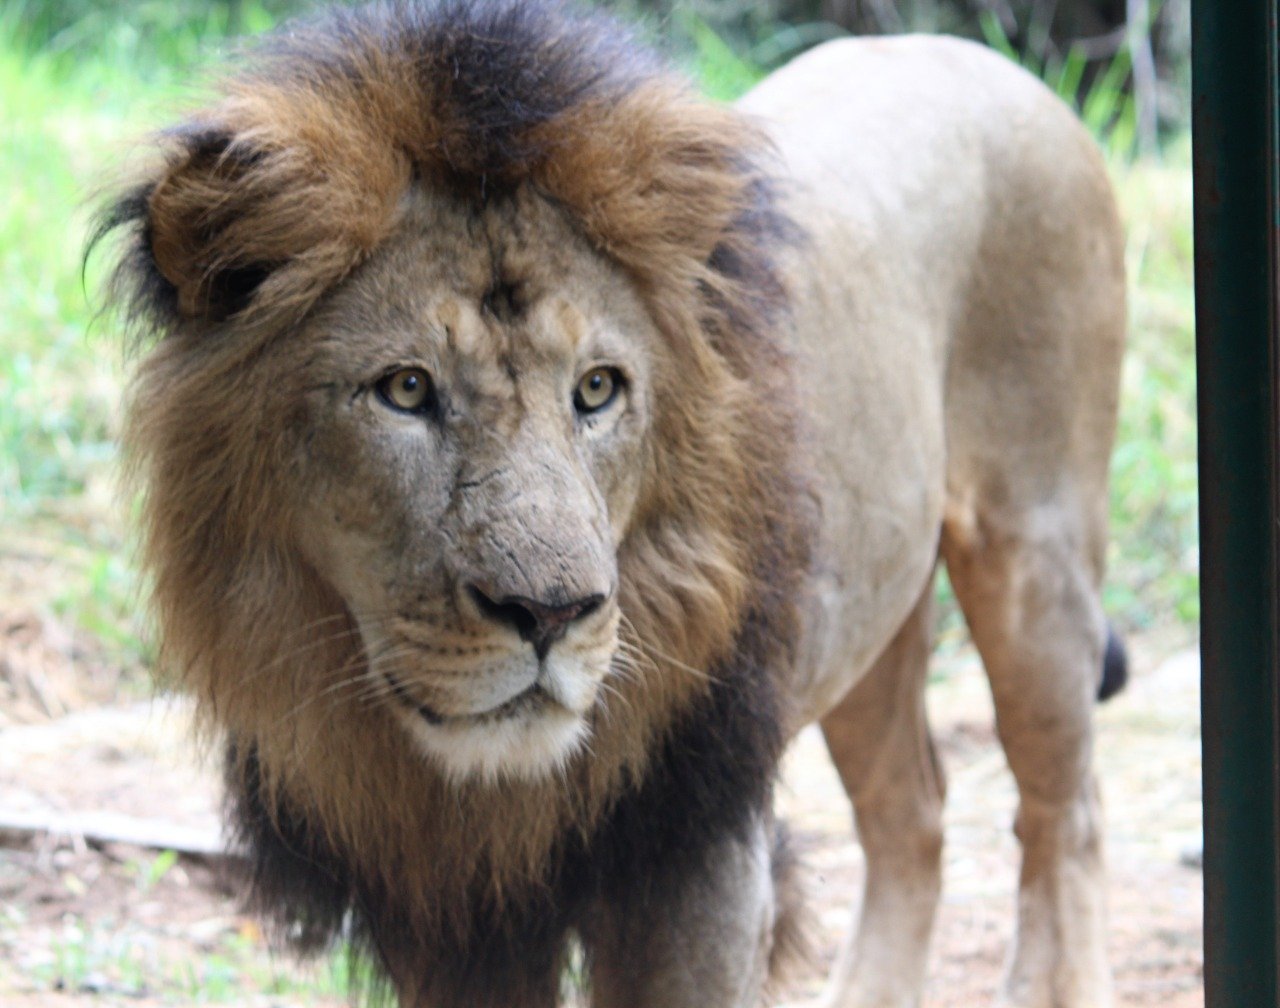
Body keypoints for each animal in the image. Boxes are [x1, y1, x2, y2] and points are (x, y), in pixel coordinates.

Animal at [94, 1, 1127, 1006]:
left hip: (1033, 559)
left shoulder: (695, 864)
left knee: (1065, 816)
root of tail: (992, 65)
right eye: (406, 389)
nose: (551, 614)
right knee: (912, 812)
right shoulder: (452, 915)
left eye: (596, 389)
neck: (478, 796)